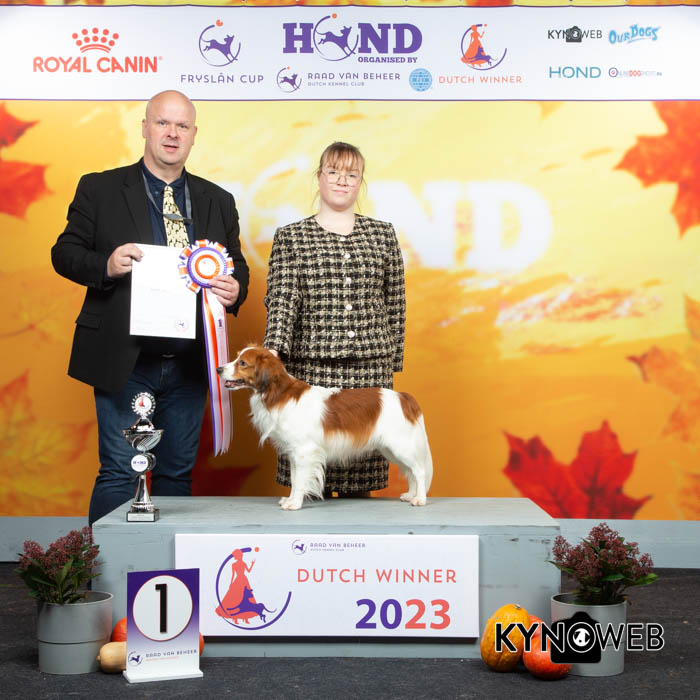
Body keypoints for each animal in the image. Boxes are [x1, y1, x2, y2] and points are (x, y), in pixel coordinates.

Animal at [217, 346, 433, 510]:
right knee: (410, 472)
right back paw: (411, 495)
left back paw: (420, 499)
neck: (278, 393)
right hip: (390, 449)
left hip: (401, 446)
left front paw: (295, 504)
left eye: (242, 363)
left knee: (419, 471)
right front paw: (291, 499)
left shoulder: (304, 452)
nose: (219, 369)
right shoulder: (295, 454)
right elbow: (295, 479)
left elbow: (300, 480)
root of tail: (404, 397)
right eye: (237, 357)